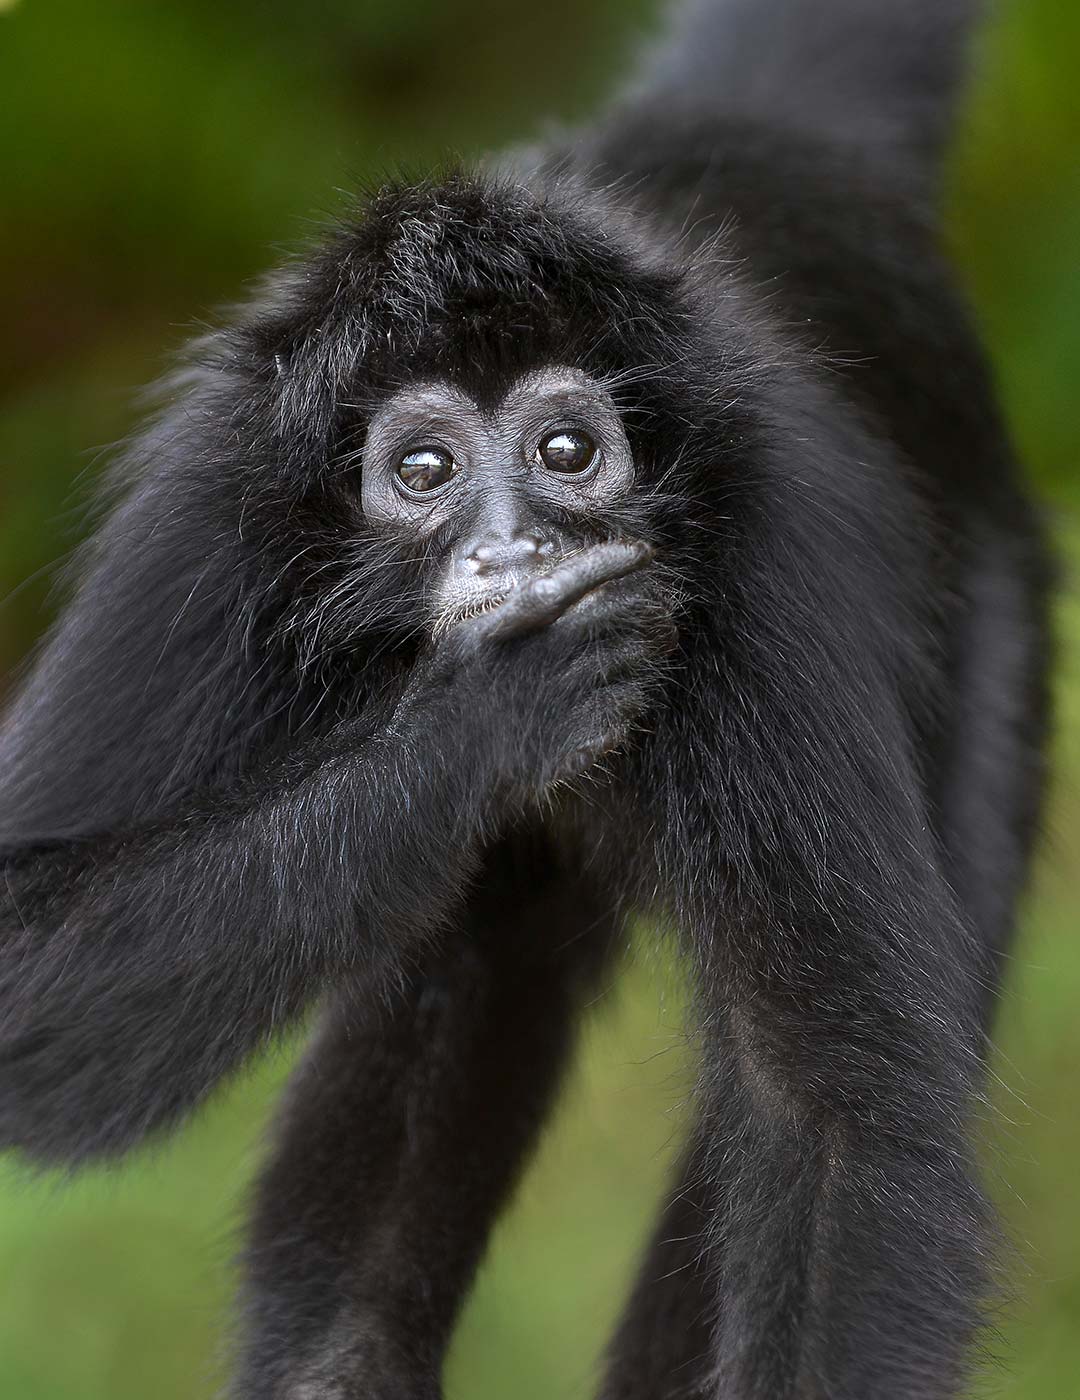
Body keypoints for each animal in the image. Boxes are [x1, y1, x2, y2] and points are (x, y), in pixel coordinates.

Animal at [0, 0, 1052, 1396]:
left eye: (566, 450)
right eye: (424, 469)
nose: (514, 551)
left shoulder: (761, 535)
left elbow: (831, 1123)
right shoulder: (207, 523)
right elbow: (20, 963)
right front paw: (491, 705)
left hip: (998, 615)